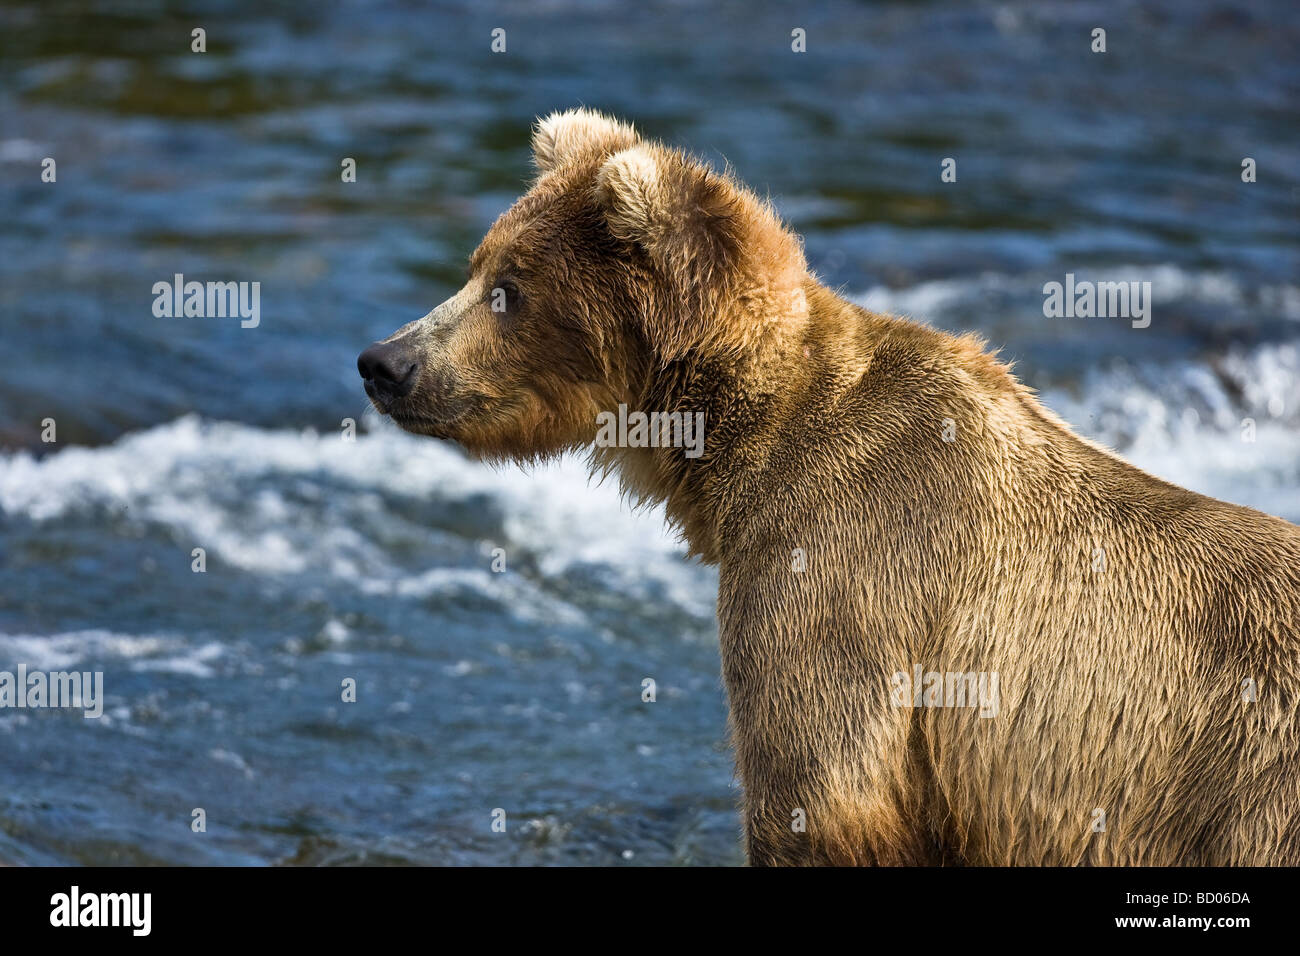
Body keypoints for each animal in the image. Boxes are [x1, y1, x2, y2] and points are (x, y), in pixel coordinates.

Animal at [356, 110, 1300, 868]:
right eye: (477, 266)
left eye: (507, 291)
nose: (384, 362)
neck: (736, 448)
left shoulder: (840, 578)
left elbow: (820, 796)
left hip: (1247, 791)